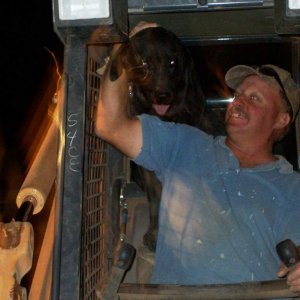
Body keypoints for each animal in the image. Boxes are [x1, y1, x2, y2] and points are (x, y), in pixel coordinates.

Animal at [108, 25, 211, 252]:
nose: (163, 96)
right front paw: (156, 234)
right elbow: (156, 198)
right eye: (145, 63)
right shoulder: (147, 171)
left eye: (172, 62)